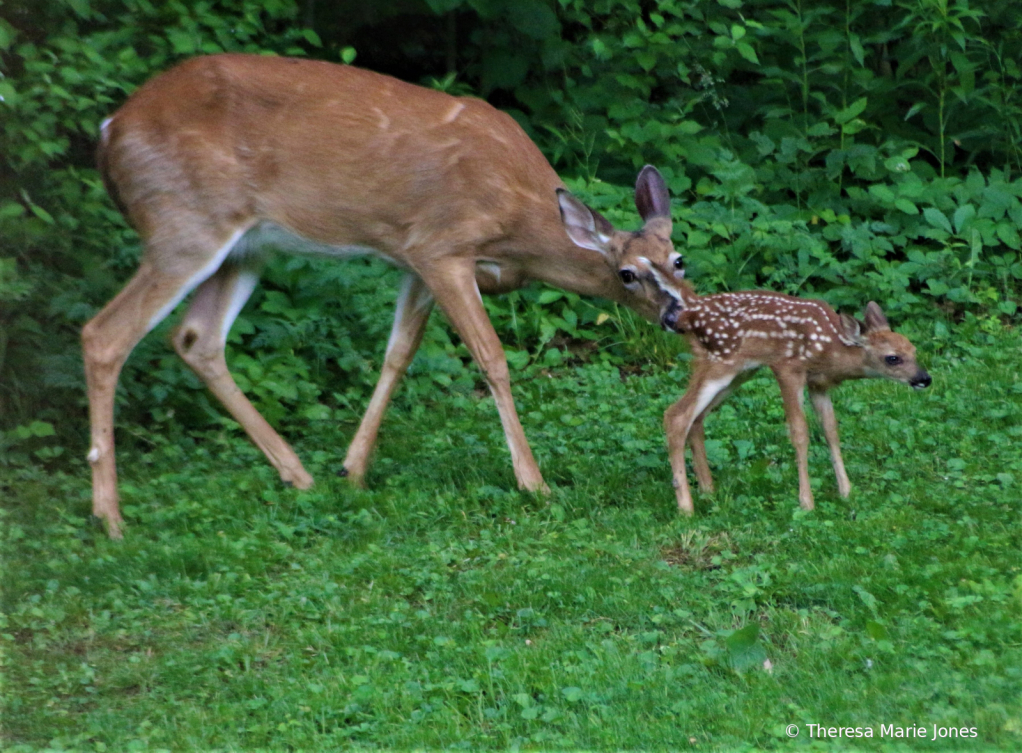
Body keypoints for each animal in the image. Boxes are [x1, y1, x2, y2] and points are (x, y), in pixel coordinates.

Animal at [83, 54, 682, 535]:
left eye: (679, 259)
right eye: (627, 274)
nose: (678, 312)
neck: (517, 225)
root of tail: (110, 129)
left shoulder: (412, 258)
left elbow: (398, 354)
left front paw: (353, 469)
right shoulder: (441, 247)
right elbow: (491, 358)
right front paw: (534, 482)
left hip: (244, 246)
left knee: (196, 338)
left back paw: (298, 475)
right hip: (183, 225)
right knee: (104, 334)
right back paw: (110, 518)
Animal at [633, 257, 932, 510]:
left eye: (914, 349)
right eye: (892, 358)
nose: (924, 379)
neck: (829, 350)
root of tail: (691, 307)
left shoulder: (819, 383)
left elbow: (831, 430)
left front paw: (846, 492)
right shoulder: (787, 367)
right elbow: (799, 432)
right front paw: (806, 502)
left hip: (739, 372)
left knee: (697, 418)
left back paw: (708, 490)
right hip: (718, 362)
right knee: (676, 415)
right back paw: (686, 506)